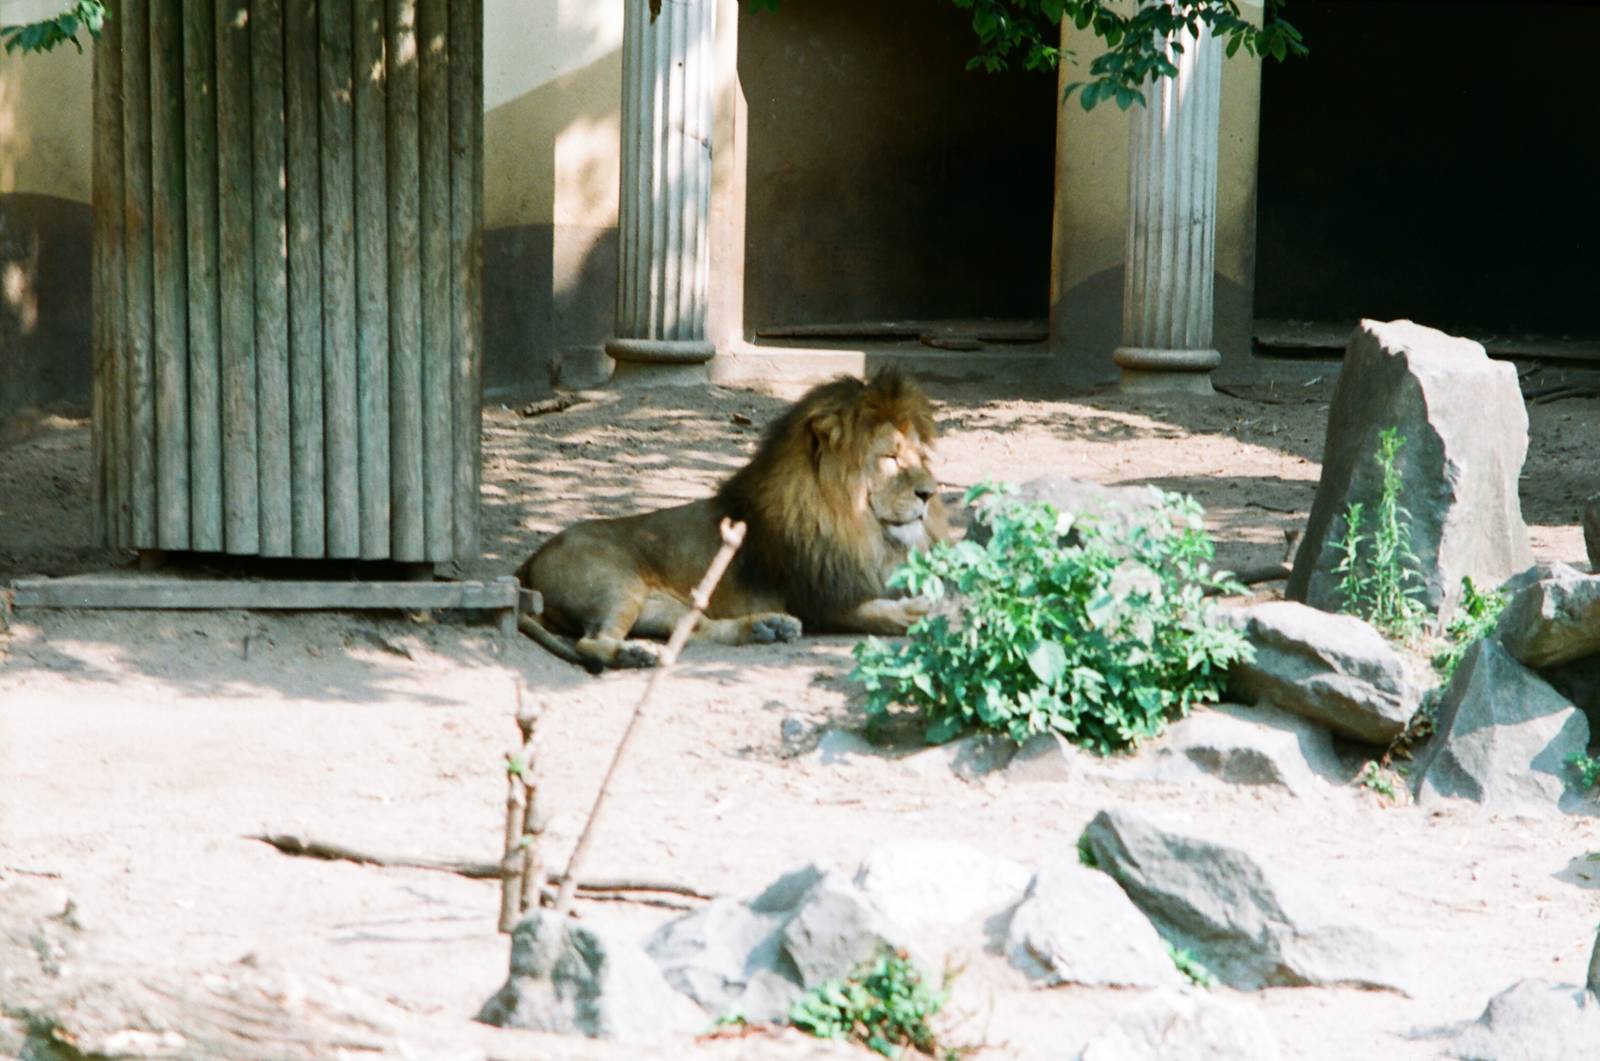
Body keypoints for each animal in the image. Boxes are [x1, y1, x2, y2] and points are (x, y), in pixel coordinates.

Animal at [516, 369, 948, 671]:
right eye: (890, 458)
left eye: (919, 455)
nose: (930, 492)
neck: (860, 528)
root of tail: (529, 562)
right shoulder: (821, 601)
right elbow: (876, 611)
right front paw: (921, 612)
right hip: (616, 585)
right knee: (590, 644)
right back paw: (635, 656)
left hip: (661, 603)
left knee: (696, 631)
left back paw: (766, 628)